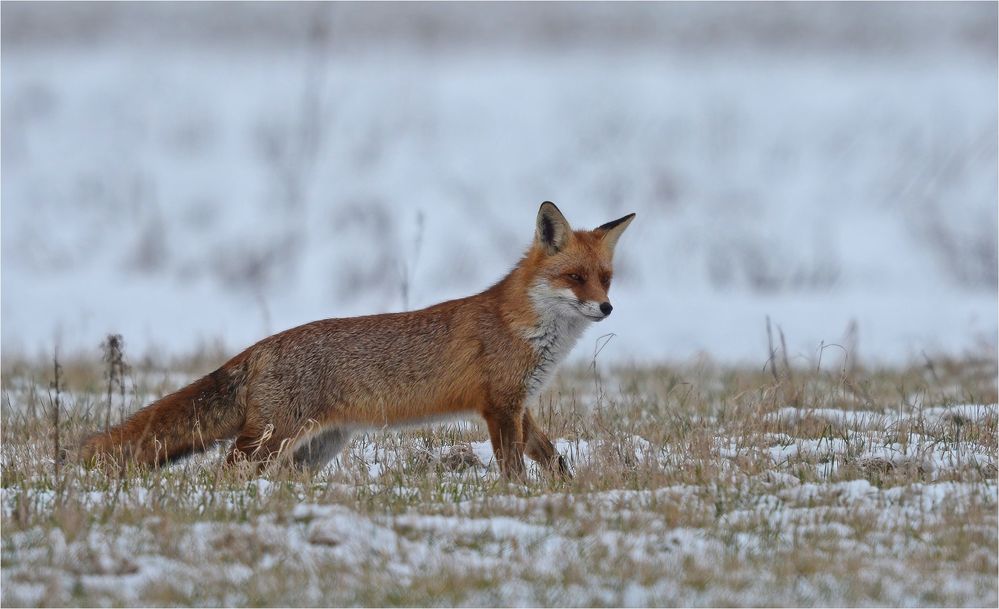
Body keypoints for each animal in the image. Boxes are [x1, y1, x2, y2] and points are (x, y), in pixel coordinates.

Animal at [82, 204, 636, 480]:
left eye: (606, 280)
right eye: (574, 278)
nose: (608, 309)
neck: (526, 327)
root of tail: (259, 348)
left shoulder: (520, 405)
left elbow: (552, 457)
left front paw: (567, 492)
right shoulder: (499, 406)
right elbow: (515, 466)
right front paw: (518, 499)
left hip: (314, 449)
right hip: (272, 439)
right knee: (226, 470)